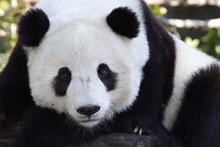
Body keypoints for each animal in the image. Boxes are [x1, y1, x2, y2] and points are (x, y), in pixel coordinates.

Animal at [0, 0, 219, 146]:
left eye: (103, 71)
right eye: (64, 75)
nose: (88, 109)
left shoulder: (152, 58)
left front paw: (142, 128)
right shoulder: (22, 59)